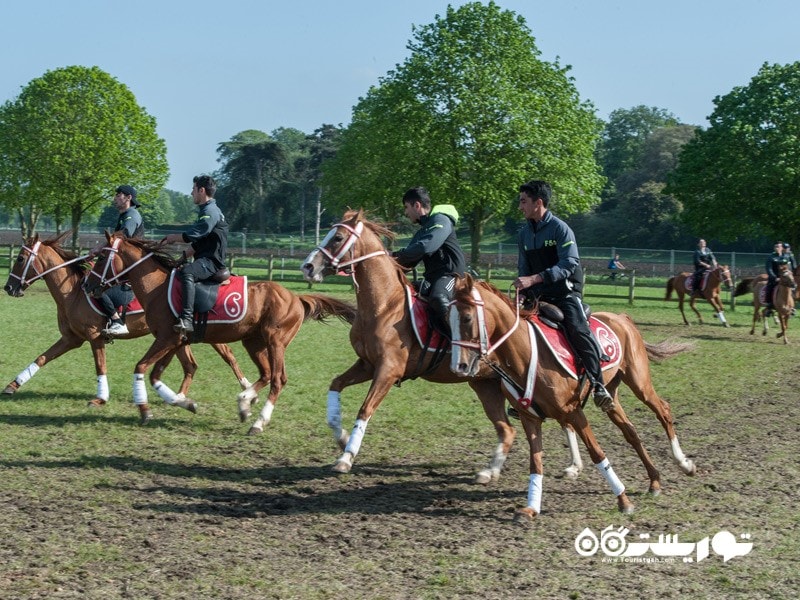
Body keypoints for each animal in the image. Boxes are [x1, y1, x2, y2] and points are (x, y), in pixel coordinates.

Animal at [2, 233, 250, 408]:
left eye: (21, 258)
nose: (9, 288)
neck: (72, 293)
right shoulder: (71, 339)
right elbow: (42, 358)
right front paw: (13, 385)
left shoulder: (94, 337)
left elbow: (100, 366)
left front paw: (100, 398)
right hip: (177, 338)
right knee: (191, 365)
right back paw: (178, 397)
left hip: (204, 333)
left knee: (227, 356)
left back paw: (246, 388)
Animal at [82, 230, 356, 426]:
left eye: (102, 257)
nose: (87, 285)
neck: (156, 288)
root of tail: (295, 297)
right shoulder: (174, 340)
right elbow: (157, 375)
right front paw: (183, 402)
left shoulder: (167, 339)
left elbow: (141, 368)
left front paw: (145, 409)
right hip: (254, 342)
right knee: (266, 374)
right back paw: (245, 402)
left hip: (275, 342)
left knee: (278, 378)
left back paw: (257, 417)